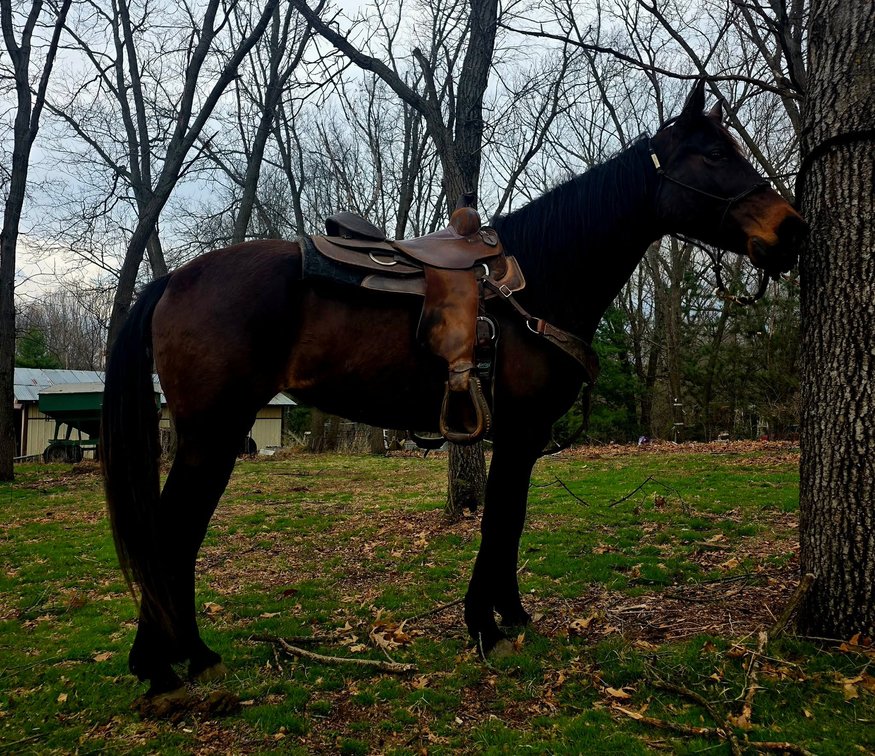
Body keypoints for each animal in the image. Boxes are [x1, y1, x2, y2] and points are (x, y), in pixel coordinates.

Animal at [101, 81, 805, 697]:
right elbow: (501, 521)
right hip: (210, 436)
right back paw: (163, 666)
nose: (791, 229)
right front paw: (485, 626)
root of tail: (174, 281)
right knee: (172, 534)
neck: (539, 280)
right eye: (714, 155)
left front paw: (509, 616)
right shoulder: (518, 432)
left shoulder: (522, 438)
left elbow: (510, 520)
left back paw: (188, 656)